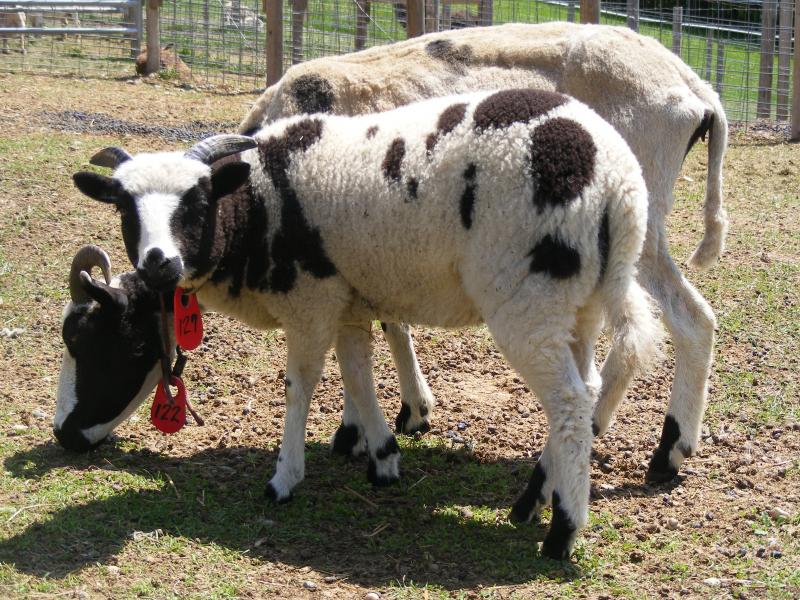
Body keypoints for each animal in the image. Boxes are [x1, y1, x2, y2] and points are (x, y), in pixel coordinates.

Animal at [71, 88, 661, 558]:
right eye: (124, 208)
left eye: (196, 202)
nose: (158, 263)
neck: (257, 208)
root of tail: (618, 185)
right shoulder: (347, 301)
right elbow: (357, 374)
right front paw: (383, 458)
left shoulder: (311, 299)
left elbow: (301, 385)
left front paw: (284, 479)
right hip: (578, 302)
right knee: (585, 389)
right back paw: (531, 501)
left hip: (529, 297)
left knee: (569, 402)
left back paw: (562, 532)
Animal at [238, 22, 728, 483]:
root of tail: (695, 88)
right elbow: (384, 323)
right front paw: (407, 412)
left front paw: (359, 429)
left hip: (633, 219)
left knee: (689, 320)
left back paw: (666, 449)